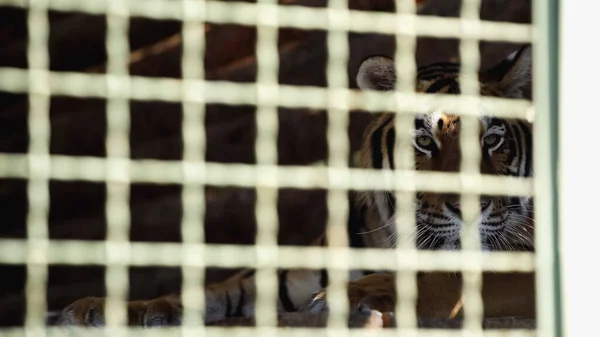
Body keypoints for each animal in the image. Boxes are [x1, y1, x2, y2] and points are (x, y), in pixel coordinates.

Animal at [55, 44, 536, 326]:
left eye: (491, 141)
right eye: (424, 142)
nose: (470, 207)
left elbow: (441, 283)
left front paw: (355, 294)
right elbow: (210, 292)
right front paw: (108, 308)